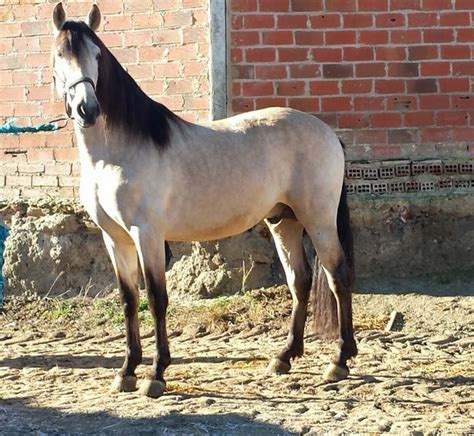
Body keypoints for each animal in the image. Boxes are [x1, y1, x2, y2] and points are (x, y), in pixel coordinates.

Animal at [51, 2, 356, 398]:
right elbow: (129, 299)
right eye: (60, 54)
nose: (88, 109)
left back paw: (340, 360)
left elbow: (156, 298)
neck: (116, 152)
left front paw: (156, 373)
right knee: (299, 281)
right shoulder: (114, 237)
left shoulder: (146, 234)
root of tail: (328, 133)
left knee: (337, 278)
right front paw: (126, 371)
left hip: (318, 220)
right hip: (283, 220)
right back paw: (284, 357)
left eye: (97, 55)